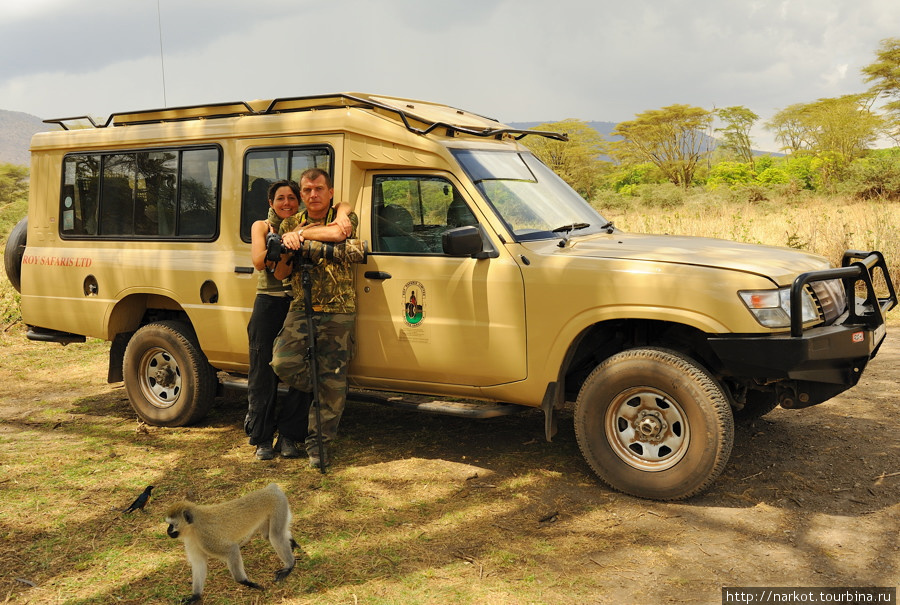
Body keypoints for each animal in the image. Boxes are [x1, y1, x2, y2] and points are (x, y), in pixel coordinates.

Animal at [163, 482, 298, 604]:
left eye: (172, 525)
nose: (168, 531)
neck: (193, 527)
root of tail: (270, 489)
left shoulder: (206, 538)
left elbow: (231, 549)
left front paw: (245, 582)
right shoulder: (192, 540)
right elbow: (198, 563)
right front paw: (195, 596)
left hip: (278, 504)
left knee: (275, 535)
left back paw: (290, 565)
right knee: (269, 535)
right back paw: (291, 542)